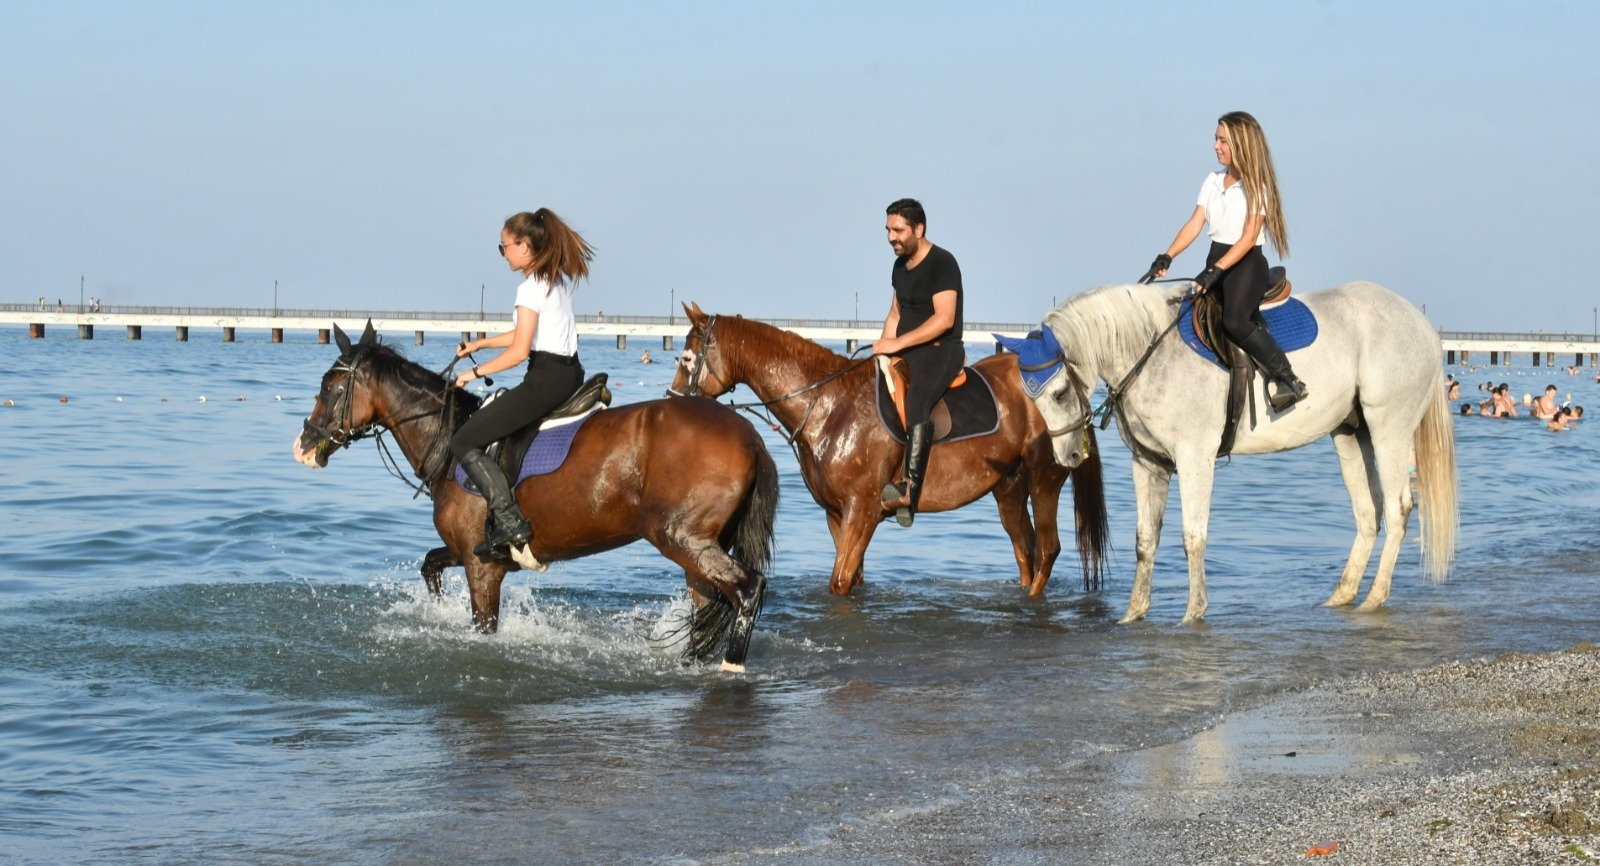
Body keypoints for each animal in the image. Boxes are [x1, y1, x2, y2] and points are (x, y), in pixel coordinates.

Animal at [299, 321, 780, 669]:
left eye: (331, 389)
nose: (304, 444)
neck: (448, 438)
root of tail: (751, 437)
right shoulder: (473, 552)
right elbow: (430, 565)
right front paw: (436, 611)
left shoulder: (481, 568)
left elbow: (481, 625)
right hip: (697, 551)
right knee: (709, 607)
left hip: (682, 539)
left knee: (748, 589)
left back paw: (731, 667)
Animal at [668, 302, 1107, 595]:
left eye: (687, 357)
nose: (673, 402)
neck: (830, 404)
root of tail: (1067, 380)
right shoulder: (836, 515)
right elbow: (852, 582)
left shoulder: (861, 512)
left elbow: (840, 580)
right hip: (1010, 488)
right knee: (1025, 553)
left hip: (1045, 477)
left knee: (1047, 550)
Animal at [1004, 281, 1459, 621]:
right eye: (1033, 399)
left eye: (1060, 393)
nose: (1068, 457)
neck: (1150, 353)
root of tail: (1421, 324)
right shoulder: (1148, 463)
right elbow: (1145, 540)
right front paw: (1133, 614)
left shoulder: (1194, 458)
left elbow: (1194, 537)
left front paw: (1193, 613)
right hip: (1350, 432)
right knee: (1368, 513)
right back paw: (1342, 596)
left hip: (1389, 428)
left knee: (1398, 509)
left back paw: (1375, 597)